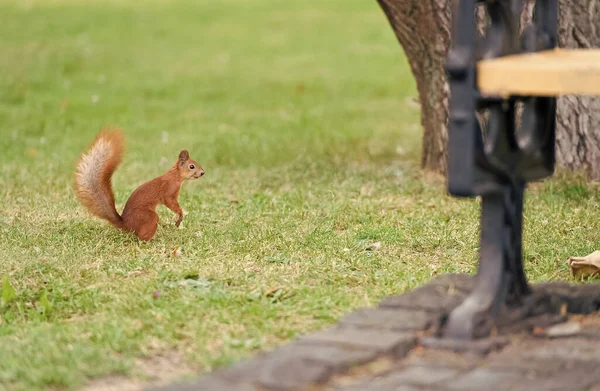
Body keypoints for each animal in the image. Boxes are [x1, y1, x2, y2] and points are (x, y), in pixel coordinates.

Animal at [72, 129, 204, 242]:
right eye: (192, 166)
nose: (203, 173)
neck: (175, 176)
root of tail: (127, 225)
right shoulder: (169, 191)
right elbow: (171, 203)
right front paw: (179, 216)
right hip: (148, 217)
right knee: (141, 235)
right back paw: (150, 240)